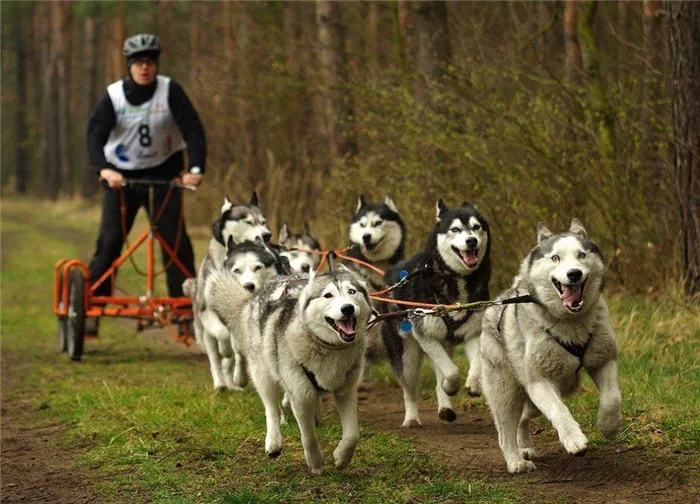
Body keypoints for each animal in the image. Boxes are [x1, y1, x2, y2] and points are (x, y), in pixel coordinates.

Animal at [208, 266, 372, 474]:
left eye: (352, 291)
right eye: (328, 295)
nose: (348, 308)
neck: (327, 347)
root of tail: (256, 296)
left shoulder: (346, 390)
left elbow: (353, 435)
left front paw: (342, 457)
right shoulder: (301, 395)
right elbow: (308, 436)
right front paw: (316, 463)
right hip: (264, 373)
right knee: (271, 408)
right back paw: (273, 441)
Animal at [380, 199, 490, 428]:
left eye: (476, 227)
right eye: (455, 229)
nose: (471, 241)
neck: (456, 280)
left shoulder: (473, 333)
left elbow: (474, 363)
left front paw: (473, 384)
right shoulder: (426, 335)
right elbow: (452, 372)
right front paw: (451, 386)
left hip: (442, 344)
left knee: (439, 375)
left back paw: (445, 407)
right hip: (407, 356)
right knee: (409, 389)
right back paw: (412, 418)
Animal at [482, 220, 624, 472]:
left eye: (581, 255)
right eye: (555, 257)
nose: (574, 274)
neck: (570, 325)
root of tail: (500, 300)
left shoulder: (603, 360)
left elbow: (612, 398)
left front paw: (608, 425)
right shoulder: (539, 382)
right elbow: (559, 410)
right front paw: (573, 439)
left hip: (534, 400)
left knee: (523, 418)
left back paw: (525, 447)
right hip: (505, 391)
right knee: (505, 429)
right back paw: (515, 460)